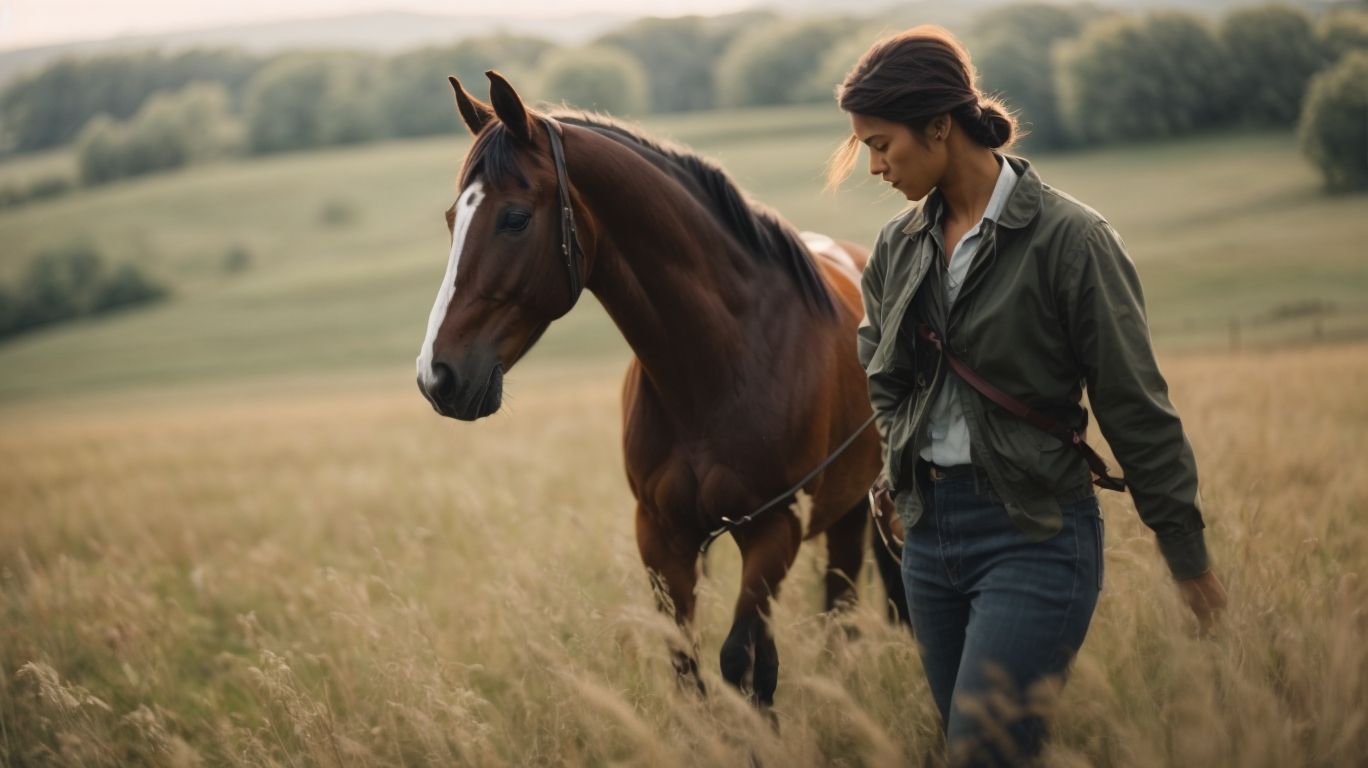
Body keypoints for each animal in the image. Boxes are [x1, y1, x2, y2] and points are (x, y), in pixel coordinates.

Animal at [416, 70, 907, 707]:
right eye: (454, 219)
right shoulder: (661, 538)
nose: (437, 376)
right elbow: (688, 667)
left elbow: (742, 662)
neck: (717, 366)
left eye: (515, 218)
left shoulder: (773, 529)